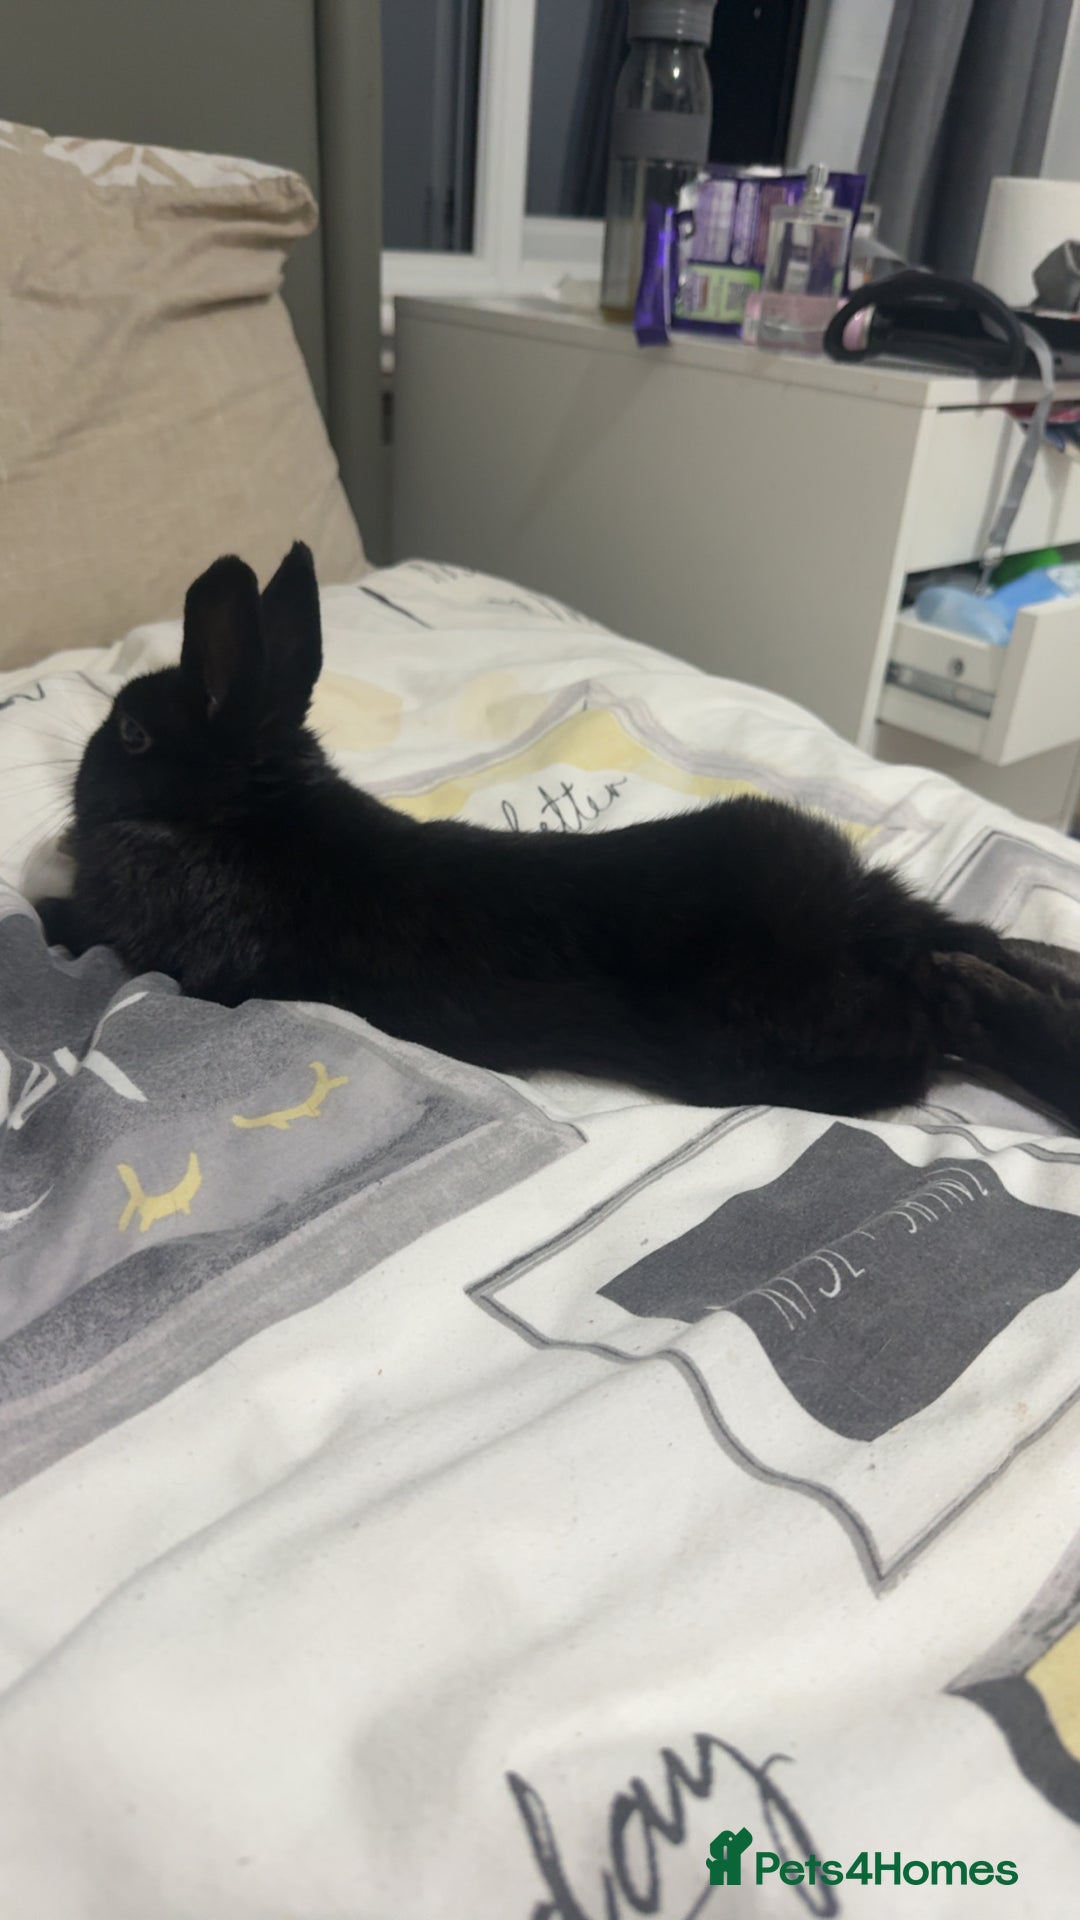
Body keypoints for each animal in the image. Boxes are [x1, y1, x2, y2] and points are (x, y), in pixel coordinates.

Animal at [33, 542, 1080, 1129]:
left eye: (132, 735)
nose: (77, 780)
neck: (246, 808)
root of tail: (853, 919)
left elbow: (74, 927)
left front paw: (39, 907)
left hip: (802, 1031)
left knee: (939, 1011)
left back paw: (981, 996)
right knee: (975, 945)